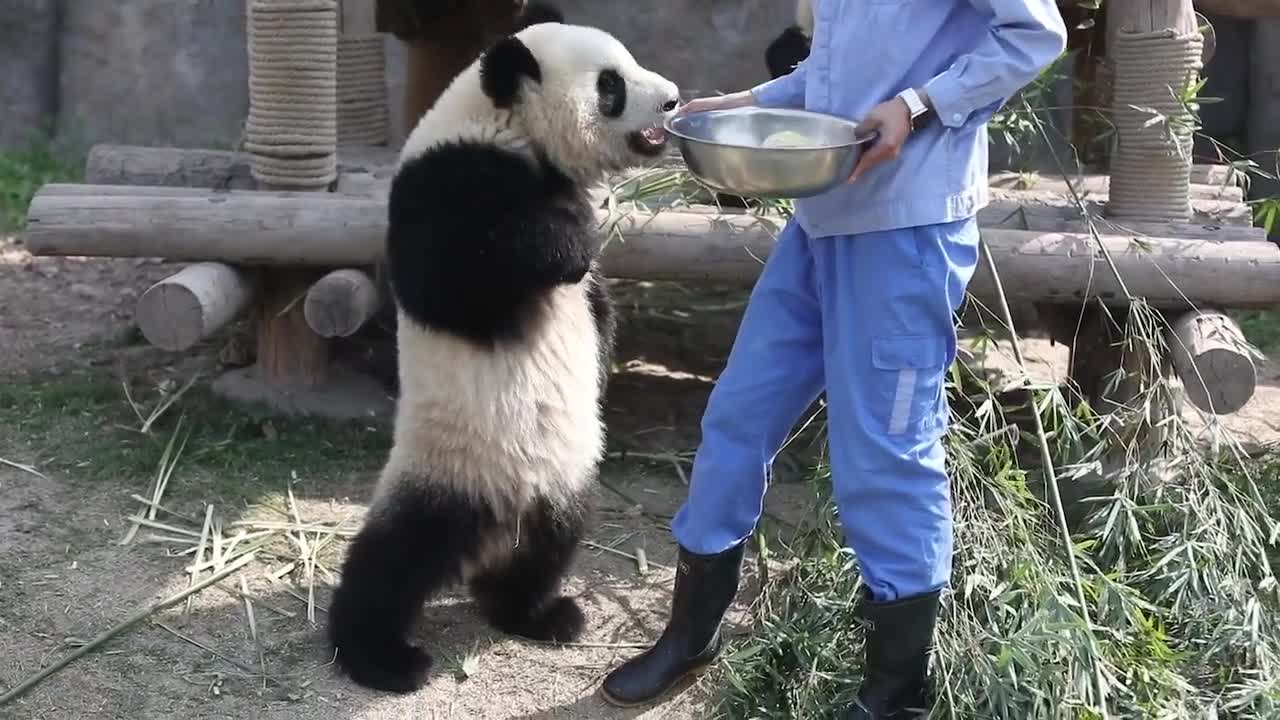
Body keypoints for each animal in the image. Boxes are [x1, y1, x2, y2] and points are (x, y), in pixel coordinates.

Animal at [326, 21, 681, 694]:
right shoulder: (444, 180)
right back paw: (380, 656)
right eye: (612, 84)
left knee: (546, 548)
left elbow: (597, 307)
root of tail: (493, 527)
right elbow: (443, 279)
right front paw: (568, 237)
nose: (673, 100)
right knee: (393, 560)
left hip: (563, 484)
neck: (511, 129)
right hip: (444, 473)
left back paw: (538, 613)